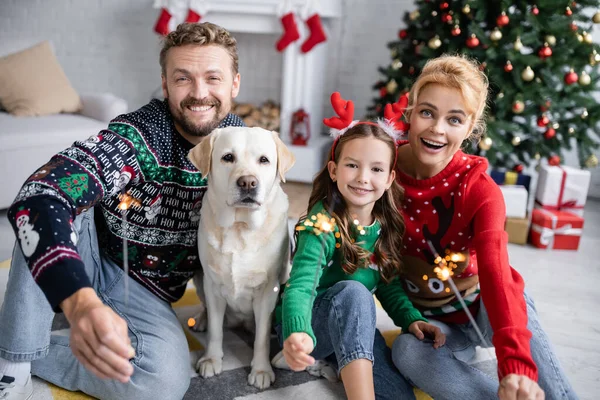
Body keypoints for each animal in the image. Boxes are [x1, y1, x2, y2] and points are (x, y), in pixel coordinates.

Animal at [188, 126, 296, 390]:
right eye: (228, 157)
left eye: (264, 160)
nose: (248, 182)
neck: (240, 227)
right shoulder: (213, 286)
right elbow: (216, 330)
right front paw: (211, 359)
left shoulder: (268, 291)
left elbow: (261, 338)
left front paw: (261, 370)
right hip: (199, 277)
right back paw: (202, 319)